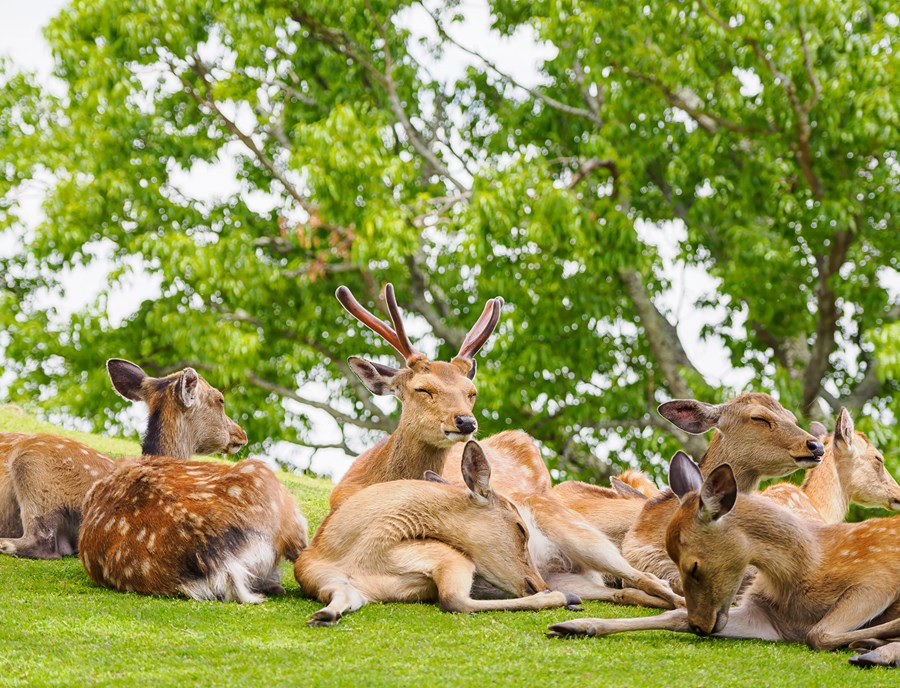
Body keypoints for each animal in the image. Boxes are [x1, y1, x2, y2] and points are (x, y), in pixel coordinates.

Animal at [334, 283, 682, 609]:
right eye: (423, 389)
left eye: (471, 391)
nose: (466, 422)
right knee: (631, 590)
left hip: (580, 533)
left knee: (647, 578)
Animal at [548, 451, 900, 669]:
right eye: (671, 558)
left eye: (693, 564)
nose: (700, 626)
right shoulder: (767, 619)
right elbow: (673, 615)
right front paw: (575, 626)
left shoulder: (878, 577)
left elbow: (818, 633)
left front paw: (874, 637)